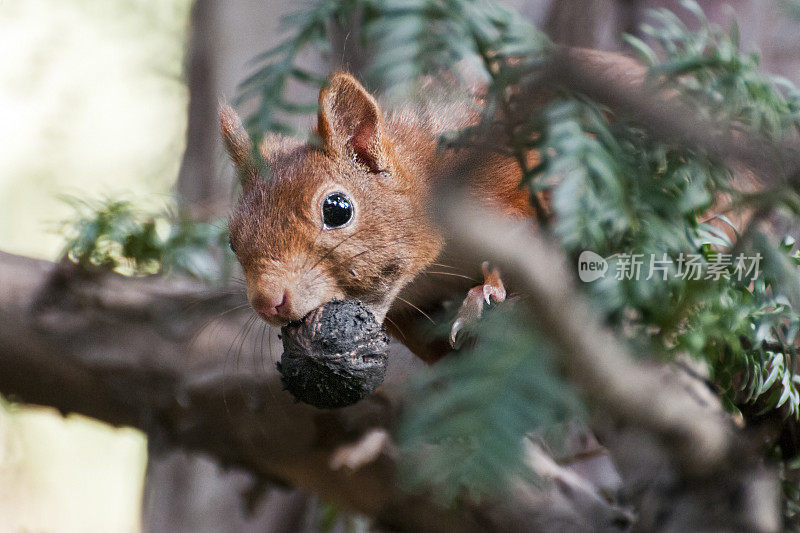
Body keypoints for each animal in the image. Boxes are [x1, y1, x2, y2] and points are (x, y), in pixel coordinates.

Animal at [222, 50, 652, 362]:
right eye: (231, 240)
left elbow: (523, 232)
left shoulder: (497, 184)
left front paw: (484, 294)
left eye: (337, 209)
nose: (267, 302)